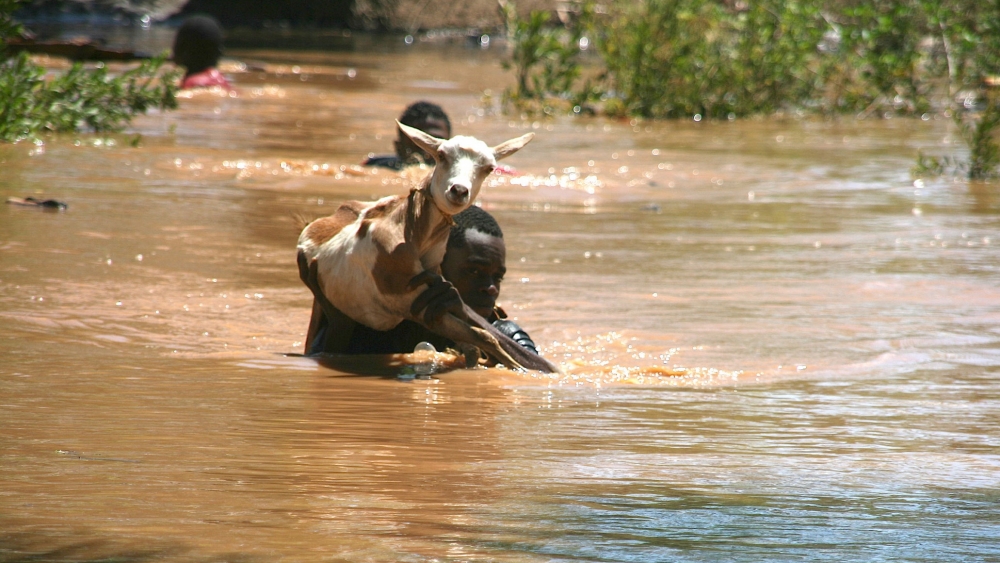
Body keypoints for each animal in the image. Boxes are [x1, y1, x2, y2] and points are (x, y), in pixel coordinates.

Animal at [294, 120, 536, 370]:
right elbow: (483, 337)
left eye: (489, 168)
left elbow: (476, 343)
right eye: (441, 155)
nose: (459, 190)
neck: (410, 233)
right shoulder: (411, 302)